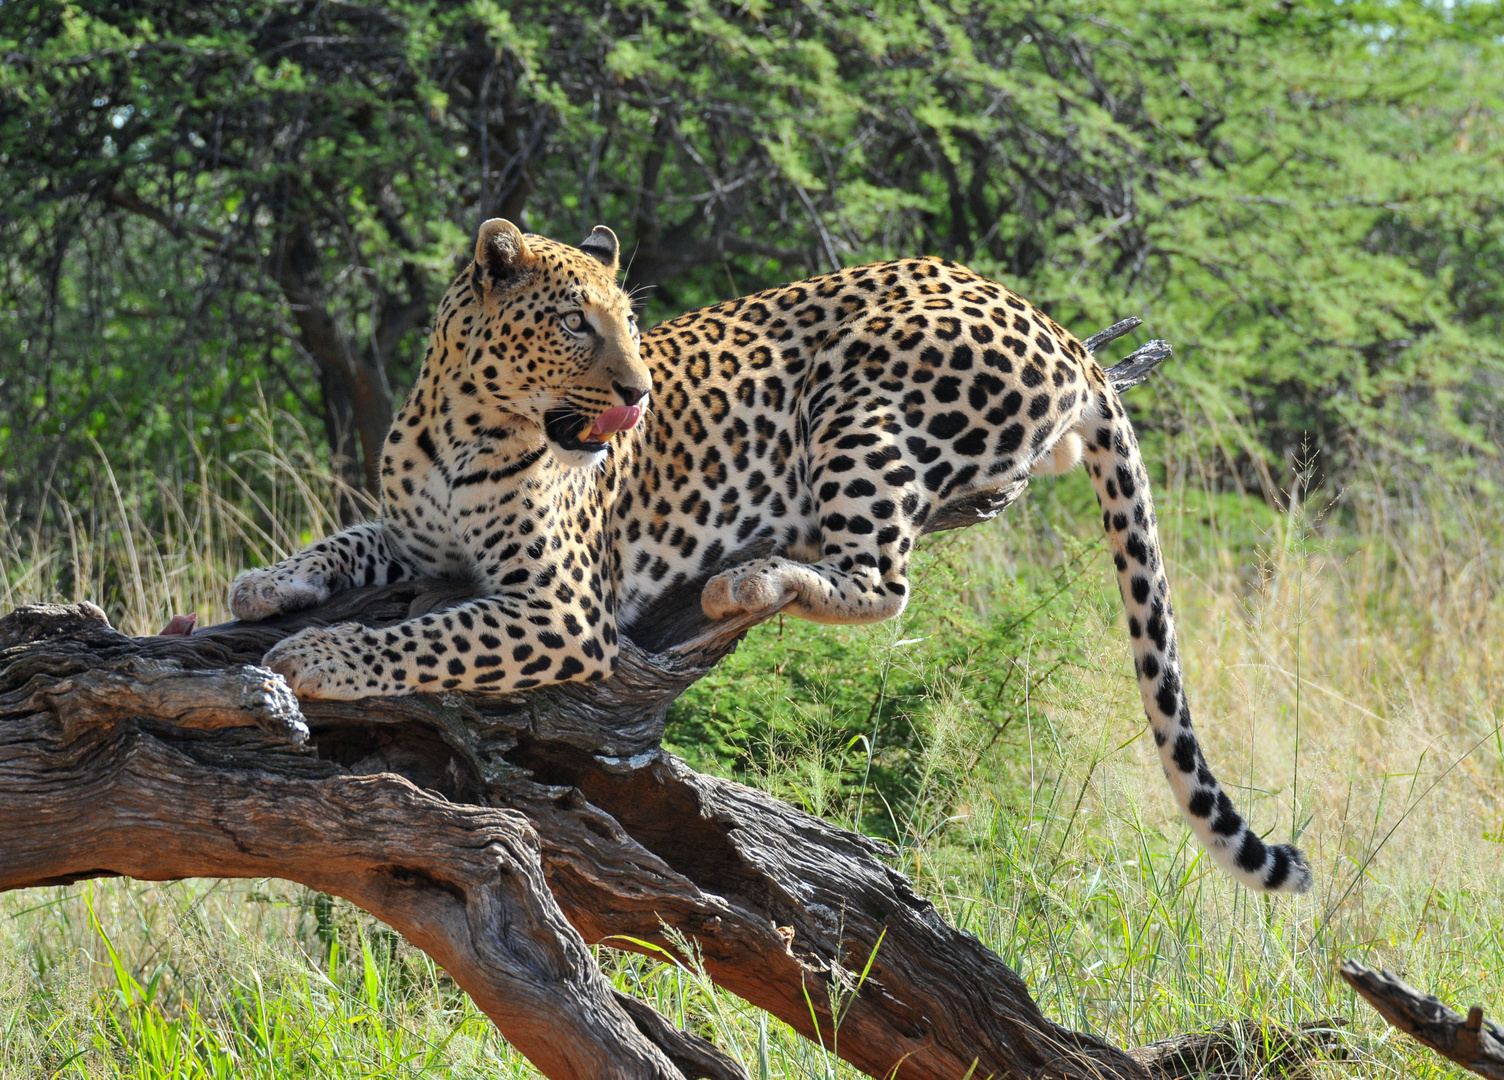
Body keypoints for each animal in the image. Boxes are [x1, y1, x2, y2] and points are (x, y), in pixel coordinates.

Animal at [228, 218, 1311, 896]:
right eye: (576, 322)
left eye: (631, 324)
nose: (637, 392)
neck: (463, 421)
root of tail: (1051, 322)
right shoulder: (416, 541)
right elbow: (349, 540)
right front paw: (266, 580)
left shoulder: (560, 608)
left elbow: (426, 639)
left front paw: (316, 657)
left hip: (860, 404)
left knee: (886, 580)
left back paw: (750, 577)